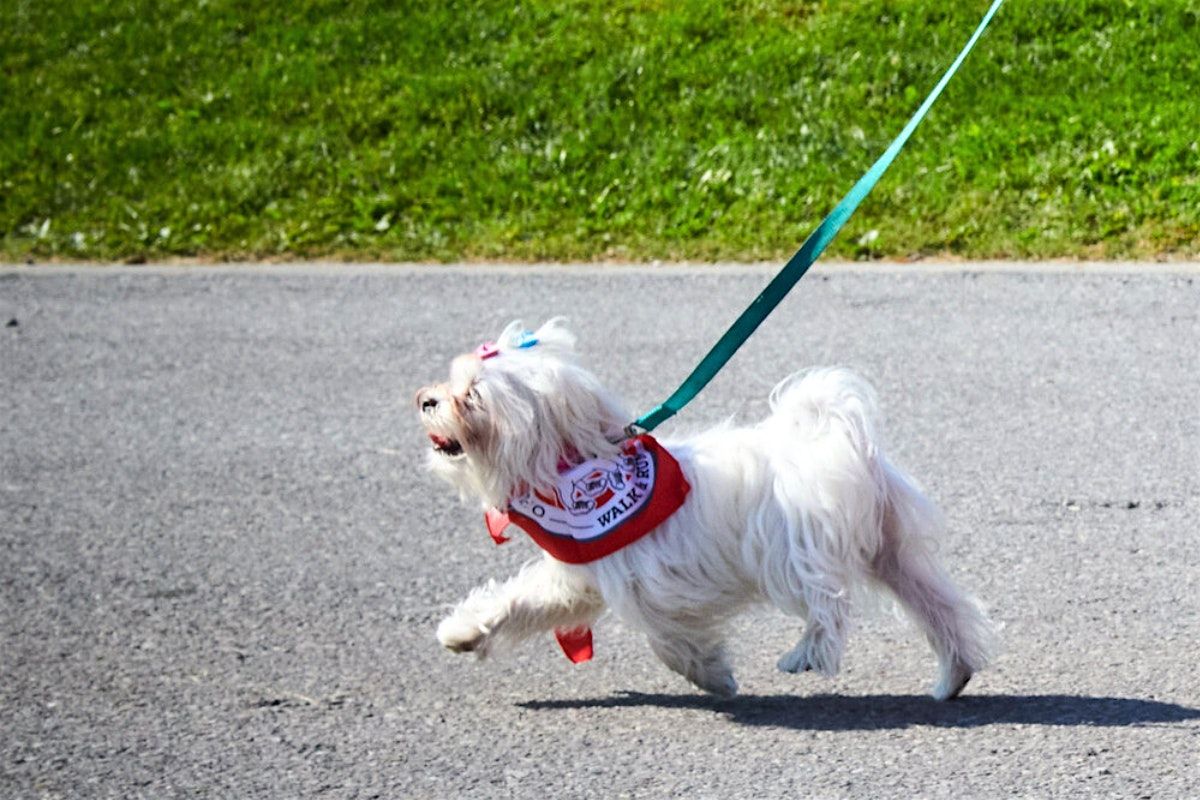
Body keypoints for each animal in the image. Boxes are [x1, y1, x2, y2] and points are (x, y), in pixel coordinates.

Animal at [422, 319, 993, 700]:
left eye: (473, 396)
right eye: (451, 383)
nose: (426, 399)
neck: (574, 469)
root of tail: (837, 436)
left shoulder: (647, 583)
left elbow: (670, 638)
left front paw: (712, 674)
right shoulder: (579, 577)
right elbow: (518, 600)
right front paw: (462, 632)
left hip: (797, 551)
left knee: (829, 604)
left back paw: (807, 654)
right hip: (894, 552)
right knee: (942, 608)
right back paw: (953, 674)